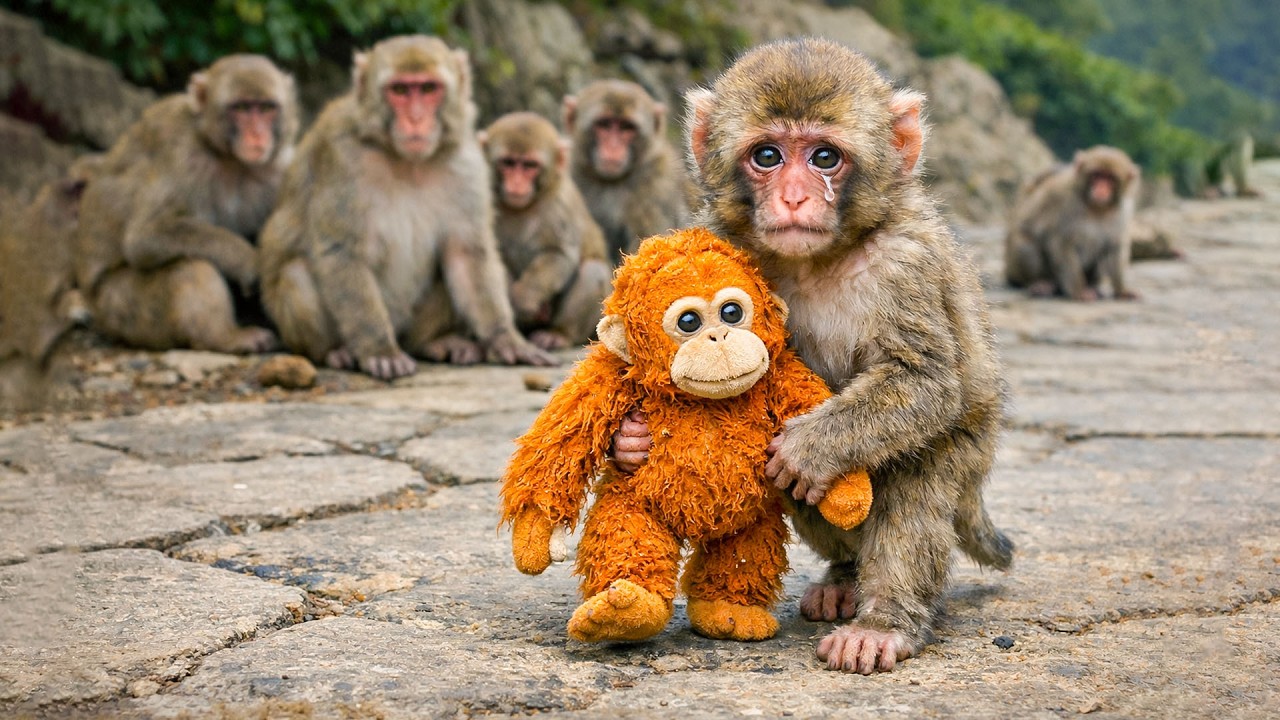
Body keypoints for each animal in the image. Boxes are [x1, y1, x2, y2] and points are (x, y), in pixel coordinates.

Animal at [73, 54, 297, 354]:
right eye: (240, 107)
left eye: (265, 108)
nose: (257, 134)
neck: (230, 159)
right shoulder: (183, 157)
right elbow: (145, 237)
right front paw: (247, 260)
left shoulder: (280, 168)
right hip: (120, 308)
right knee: (190, 265)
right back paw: (224, 337)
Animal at [259, 36, 555, 380]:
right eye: (400, 90)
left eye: (428, 89)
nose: (415, 119)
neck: (408, 162)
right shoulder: (340, 157)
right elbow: (341, 250)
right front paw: (379, 350)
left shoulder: (466, 164)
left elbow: (467, 254)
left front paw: (506, 338)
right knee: (296, 274)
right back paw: (337, 351)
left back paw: (436, 342)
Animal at [479, 111, 612, 350]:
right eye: (508, 163)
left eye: (530, 165)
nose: (517, 184)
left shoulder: (560, 204)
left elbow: (559, 254)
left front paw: (524, 297)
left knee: (593, 269)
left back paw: (558, 333)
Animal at [611, 38, 1013, 674]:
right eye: (768, 156)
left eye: (825, 157)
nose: (795, 196)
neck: (819, 260)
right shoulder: (720, 239)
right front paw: (632, 439)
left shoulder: (906, 263)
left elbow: (925, 381)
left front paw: (809, 447)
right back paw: (847, 577)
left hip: (971, 455)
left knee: (917, 474)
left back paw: (883, 621)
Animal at [1004, 145, 1142, 301]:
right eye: (1096, 175)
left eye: (1110, 178)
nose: (1101, 189)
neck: (1096, 208)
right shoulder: (1064, 201)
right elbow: (1062, 244)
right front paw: (1079, 291)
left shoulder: (1124, 211)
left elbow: (1114, 247)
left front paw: (1122, 290)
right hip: (1016, 270)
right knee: (1023, 242)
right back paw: (1040, 283)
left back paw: (1092, 285)